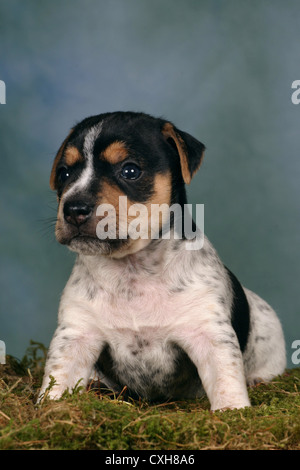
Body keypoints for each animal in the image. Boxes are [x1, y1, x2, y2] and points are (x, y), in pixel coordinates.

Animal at [39, 112, 286, 410]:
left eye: (130, 171)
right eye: (64, 173)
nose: (74, 209)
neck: (132, 270)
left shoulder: (208, 334)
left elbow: (225, 379)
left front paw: (232, 410)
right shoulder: (77, 334)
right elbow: (58, 378)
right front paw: (50, 407)